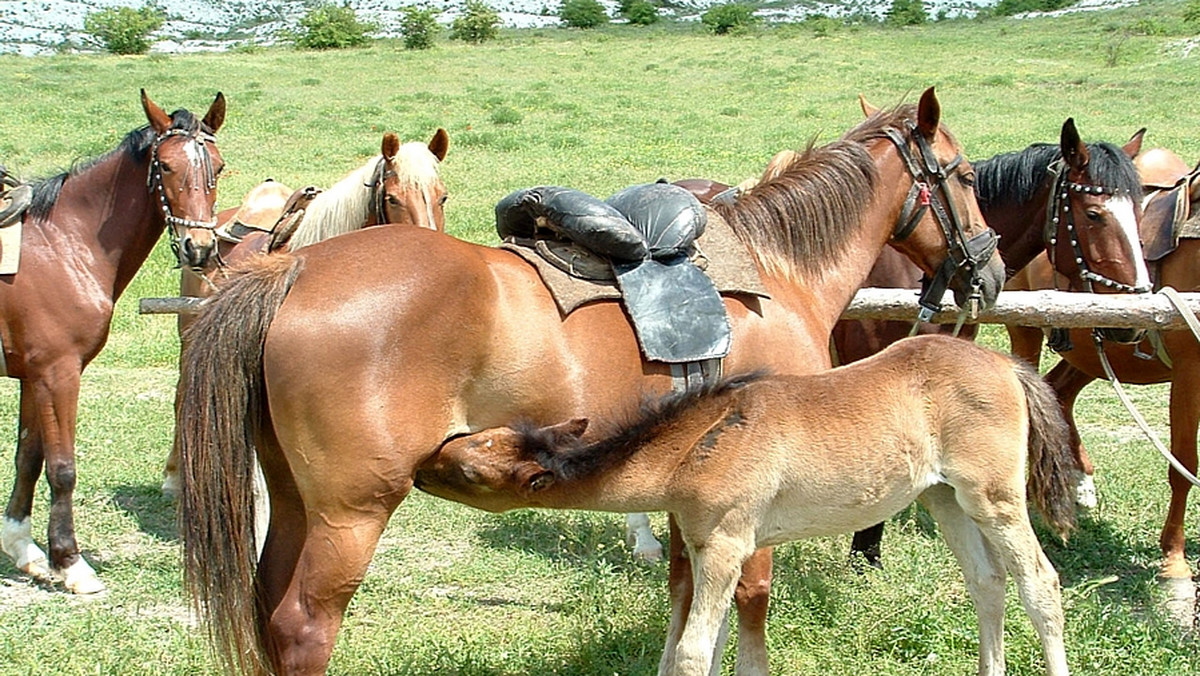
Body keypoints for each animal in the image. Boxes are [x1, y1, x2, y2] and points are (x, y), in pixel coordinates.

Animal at [0, 92, 226, 595]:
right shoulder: (58, 372)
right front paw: (71, 563)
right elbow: (61, 468)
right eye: (165, 165)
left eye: (218, 167)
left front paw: (25, 550)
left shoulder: (32, 375)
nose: (199, 248)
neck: (64, 243)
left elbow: (28, 457)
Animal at [175, 90, 1003, 676]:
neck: (774, 270)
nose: (990, 269)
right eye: (965, 175)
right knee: (303, 627)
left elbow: (684, 600)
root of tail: (292, 269)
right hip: (351, 513)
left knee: (267, 611)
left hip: (292, 498)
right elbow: (750, 602)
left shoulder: (693, 489)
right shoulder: (758, 490)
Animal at [415, 336, 1080, 676]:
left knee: (1040, 583)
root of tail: (1005, 362)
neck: (693, 448)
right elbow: (690, 645)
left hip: (994, 496)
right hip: (945, 497)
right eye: (472, 438)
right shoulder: (696, 544)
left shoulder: (727, 544)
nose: (419, 467)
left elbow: (691, 653)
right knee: (988, 583)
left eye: (468, 471)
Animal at [1003, 147, 1200, 581]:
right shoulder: (1189, 370)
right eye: (1093, 216)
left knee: (1058, 392)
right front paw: (1174, 562)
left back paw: (1078, 483)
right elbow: (1182, 463)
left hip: (1093, 349)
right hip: (1027, 330)